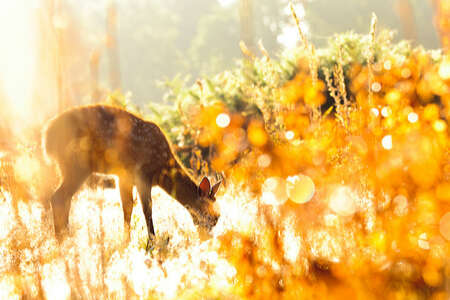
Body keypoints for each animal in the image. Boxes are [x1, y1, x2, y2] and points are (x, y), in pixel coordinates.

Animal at [42, 105, 221, 241]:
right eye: (212, 217)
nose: (207, 240)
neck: (161, 169)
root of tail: (47, 138)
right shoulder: (142, 174)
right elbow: (147, 208)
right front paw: (152, 242)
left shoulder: (123, 177)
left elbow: (127, 208)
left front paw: (126, 241)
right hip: (77, 164)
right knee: (58, 197)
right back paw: (63, 240)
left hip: (67, 166)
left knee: (64, 198)